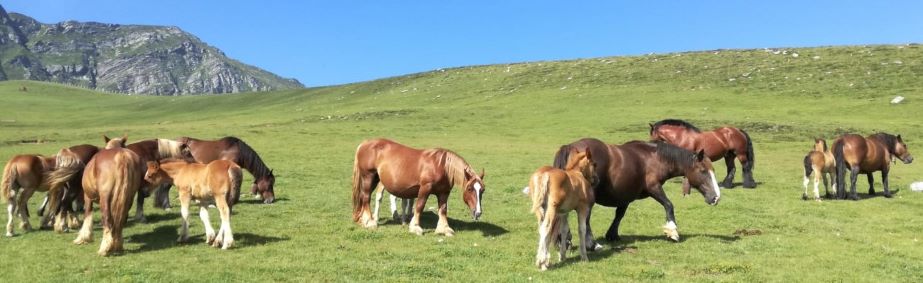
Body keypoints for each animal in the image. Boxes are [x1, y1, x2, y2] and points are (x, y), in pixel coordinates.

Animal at [350, 138, 488, 237]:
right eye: (470, 189)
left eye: (482, 190)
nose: (478, 212)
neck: (441, 166)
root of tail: (364, 144)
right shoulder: (425, 188)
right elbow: (419, 206)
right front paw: (415, 227)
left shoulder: (444, 193)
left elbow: (443, 210)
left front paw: (444, 229)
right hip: (368, 177)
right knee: (366, 197)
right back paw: (370, 222)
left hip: (375, 179)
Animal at [556, 139, 720, 248]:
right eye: (703, 171)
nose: (716, 197)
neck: (654, 158)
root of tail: (571, 146)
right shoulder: (654, 187)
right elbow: (669, 205)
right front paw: (672, 231)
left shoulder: (625, 197)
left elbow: (619, 215)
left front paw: (612, 235)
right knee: (585, 217)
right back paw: (592, 244)